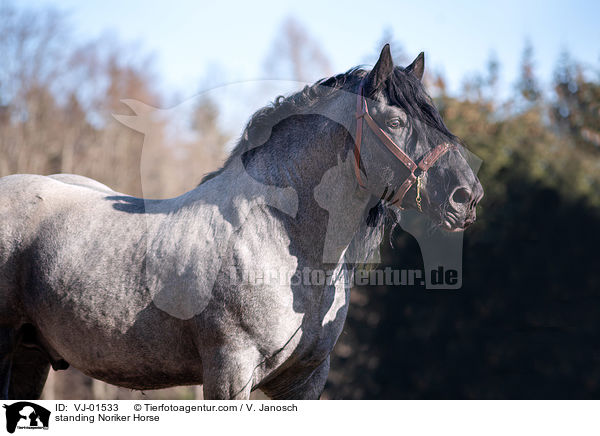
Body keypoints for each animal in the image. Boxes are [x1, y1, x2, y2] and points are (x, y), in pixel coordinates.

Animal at [0, 46, 482, 400]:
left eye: (436, 117)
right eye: (396, 121)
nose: (467, 196)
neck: (280, 238)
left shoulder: (304, 383)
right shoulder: (229, 375)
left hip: (29, 355)